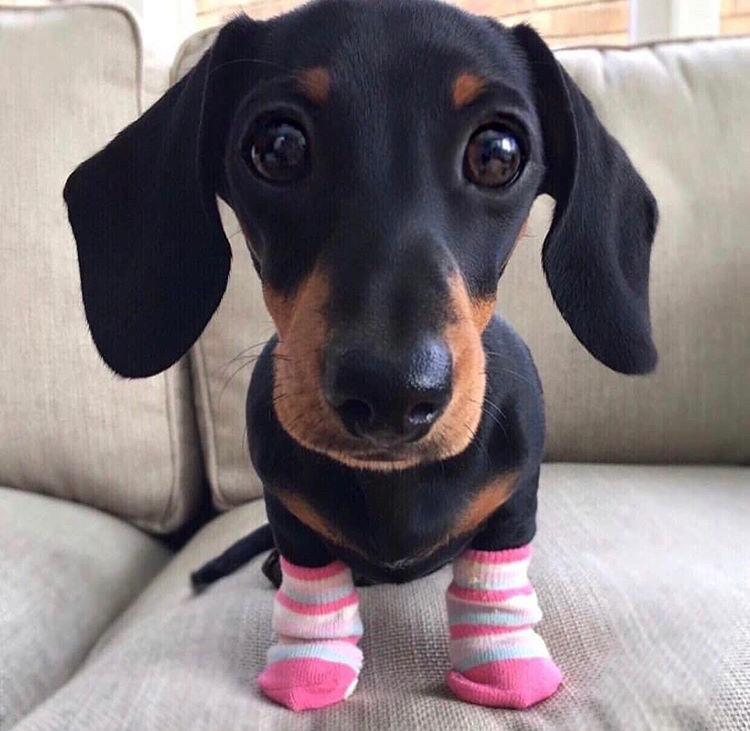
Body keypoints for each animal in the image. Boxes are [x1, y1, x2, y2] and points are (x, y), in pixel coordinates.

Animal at [64, 0, 657, 712]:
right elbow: (313, 591)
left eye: (498, 153)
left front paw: (505, 672)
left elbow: (492, 586)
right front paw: (308, 676)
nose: (392, 395)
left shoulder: (513, 509)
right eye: (277, 147)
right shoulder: (292, 520)